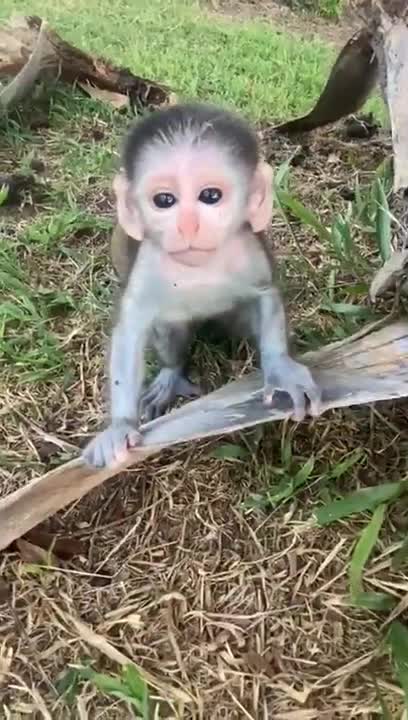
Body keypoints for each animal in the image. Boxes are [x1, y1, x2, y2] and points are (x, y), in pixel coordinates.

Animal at [82, 102, 321, 469]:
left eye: (210, 195)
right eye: (164, 200)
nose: (187, 226)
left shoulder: (248, 249)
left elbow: (265, 294)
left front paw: (281, 369)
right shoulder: (148, 263)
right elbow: (131, 328)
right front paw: (120, 426)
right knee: (168, 327)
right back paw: (171, 374)